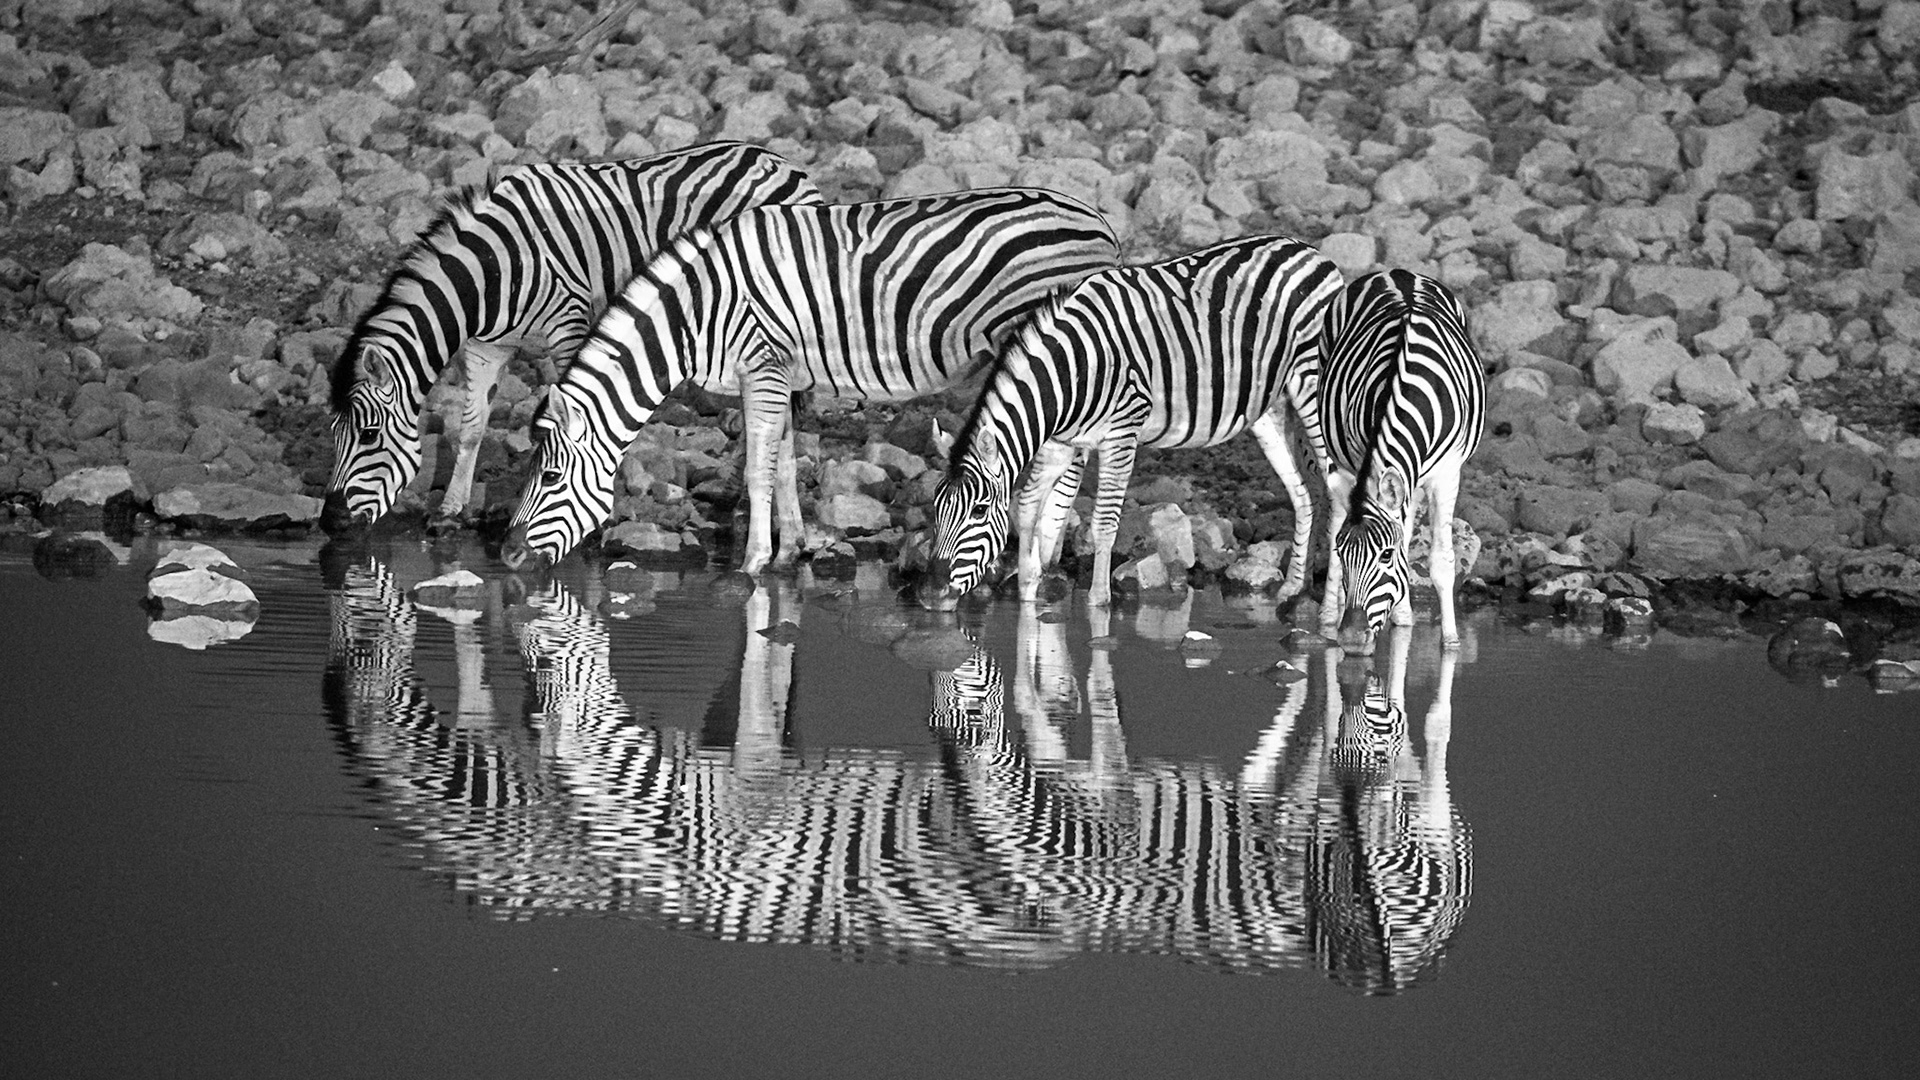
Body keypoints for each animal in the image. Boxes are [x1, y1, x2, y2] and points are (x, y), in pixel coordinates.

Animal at [321, 142, 823, 535]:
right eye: (333, 434)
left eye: (368, 435)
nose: (329, 522)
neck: (493, 270)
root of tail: (785, 163)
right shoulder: (487, 346)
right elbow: (470, 428)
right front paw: (450, 509)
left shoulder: (570, 324)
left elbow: (580, 420)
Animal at [498, 187, 1122, 573]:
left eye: (550, 477)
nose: (506, 558)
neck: (696, 311)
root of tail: (1099, 221)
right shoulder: (771, 372)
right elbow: (780, 460)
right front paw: (789, 550)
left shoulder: (764, 363)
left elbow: (757, 467)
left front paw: (751, 564)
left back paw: (1045, 553)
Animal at [921, 234, 1343, 610]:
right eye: (935, 508)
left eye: (978, 511)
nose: (932, 593)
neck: (1071, 372)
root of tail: (1309, 251)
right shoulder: (1061, 443)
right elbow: (1029, 510)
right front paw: (1027, 595)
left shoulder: (1122, 431)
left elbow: (1103, 524)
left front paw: (1098, 603)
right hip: (1270, 409)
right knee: (1304, 494)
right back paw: (1293, 587)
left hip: (1312, 388)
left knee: (1335, 491)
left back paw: (1331, 605)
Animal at [1293, 269, 1487, 654]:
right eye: (1341, 552)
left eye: (1385, 556)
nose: (1352, 639)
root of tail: (1397, 272)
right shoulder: (1359, 462)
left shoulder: (1447, 473)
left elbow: (1441, 561)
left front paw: (1451, 641)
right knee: (1341, 513)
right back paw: (1334, 614)